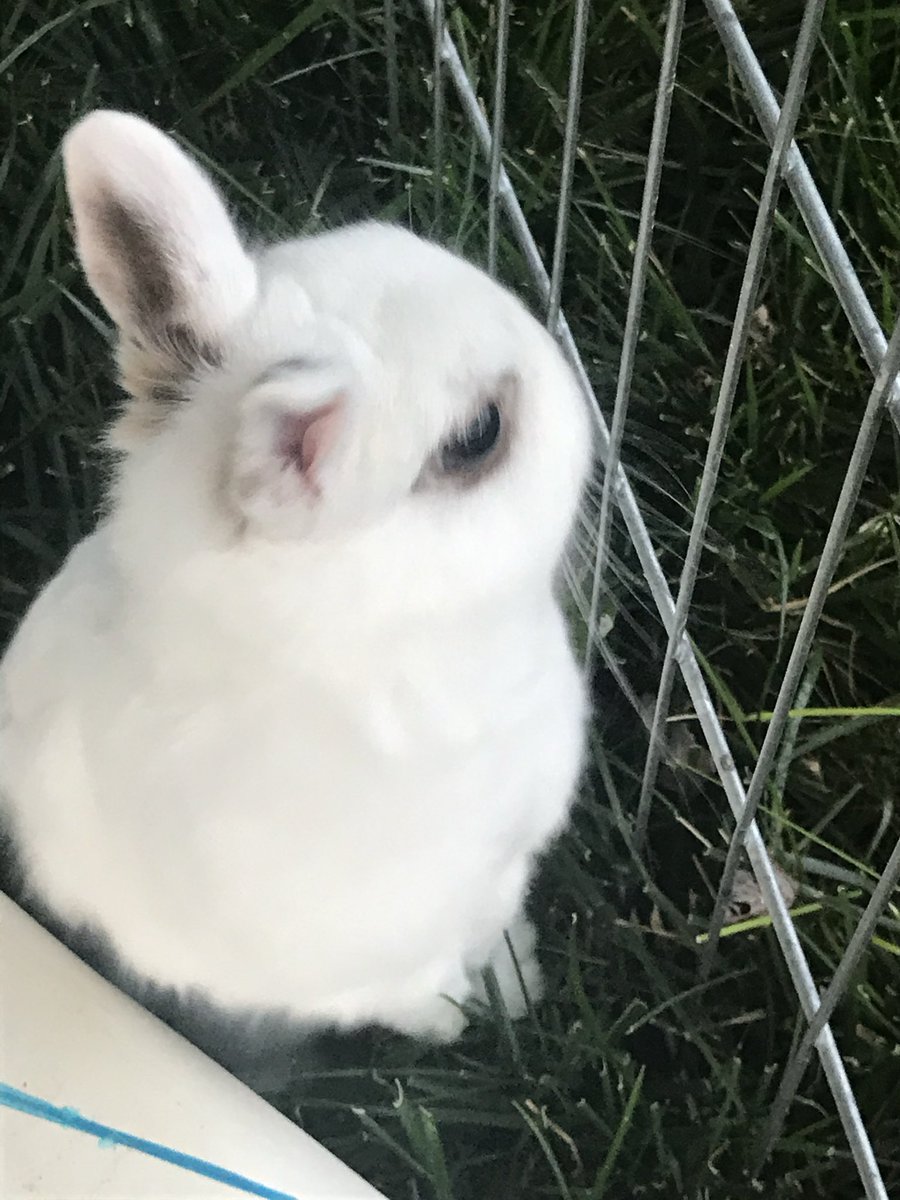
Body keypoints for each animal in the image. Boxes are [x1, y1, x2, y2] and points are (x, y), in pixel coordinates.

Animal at [0, 110, 592, 1087]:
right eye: (478, 435)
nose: (582, 395)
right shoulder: (371, 960)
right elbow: (423, 991)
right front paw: (473, 1019)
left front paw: (521, 982)